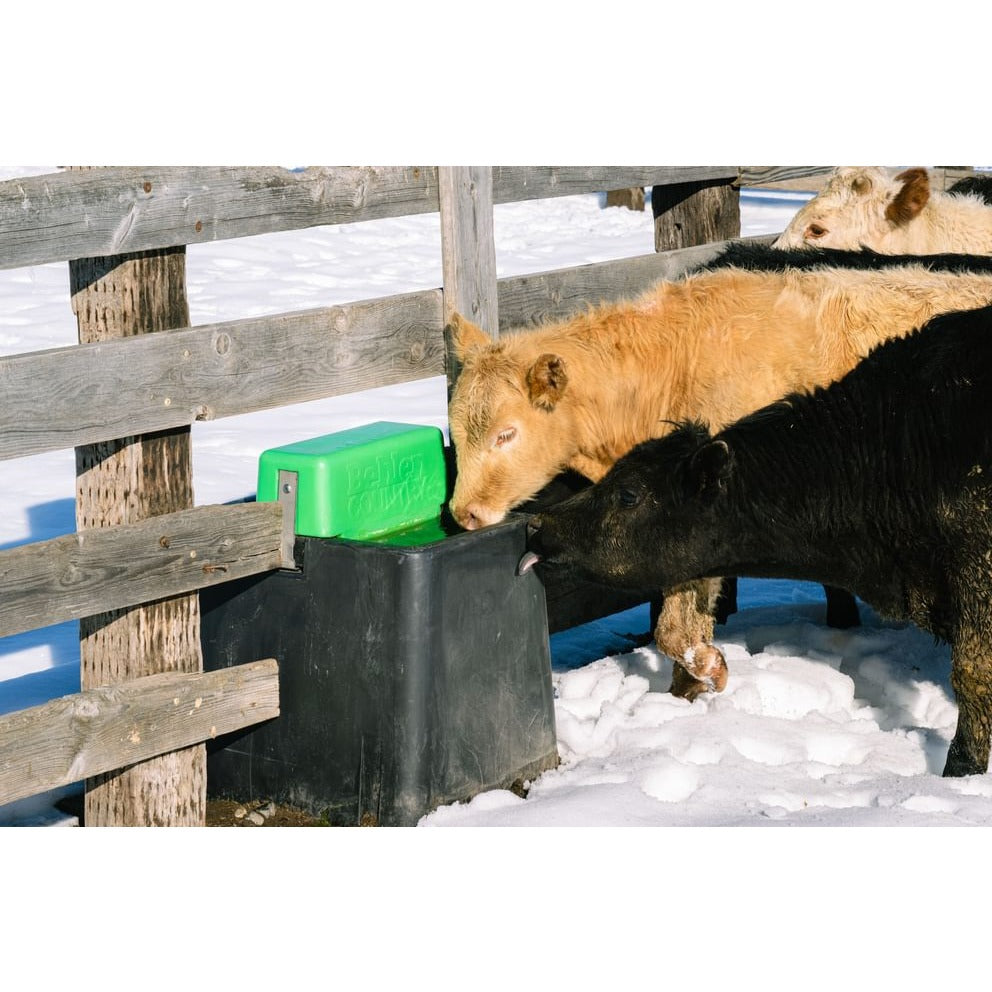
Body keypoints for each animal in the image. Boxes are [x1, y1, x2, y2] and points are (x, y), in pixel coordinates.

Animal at [447, 245, 992, 701]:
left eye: (506, 434)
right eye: (455, 430)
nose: (462, 513)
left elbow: (677, 626)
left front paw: (707, 670)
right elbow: (674, 623)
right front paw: (683, 693)